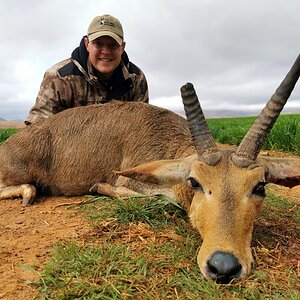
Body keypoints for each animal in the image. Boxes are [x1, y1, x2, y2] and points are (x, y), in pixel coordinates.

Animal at [0, 54, 298, 284]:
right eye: (195, 182)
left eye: (259, 186)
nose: (223, 265)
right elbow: (158, 198)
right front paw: (101, 187)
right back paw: (27, 192)